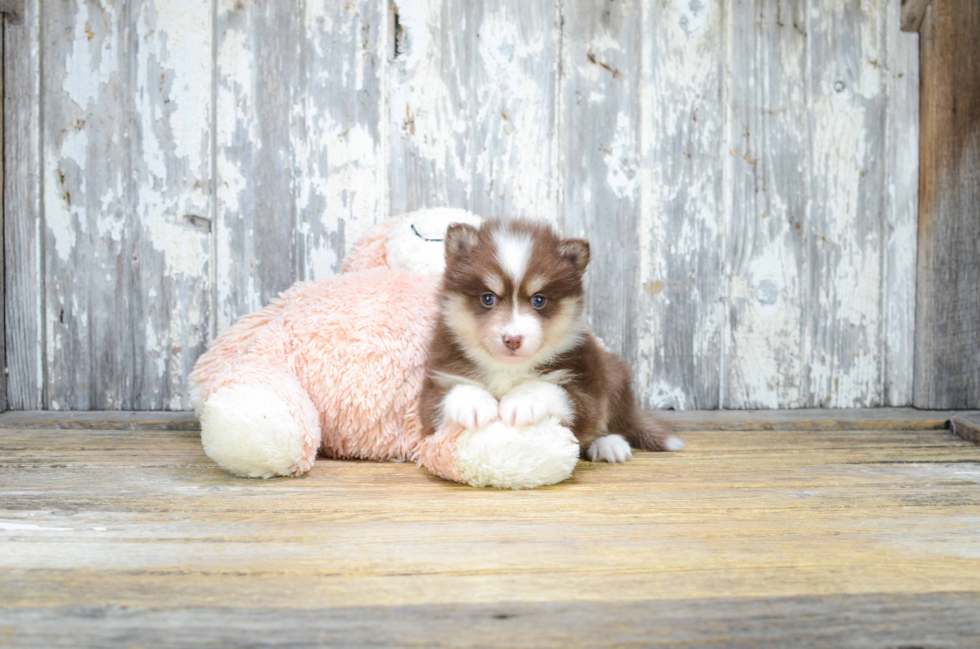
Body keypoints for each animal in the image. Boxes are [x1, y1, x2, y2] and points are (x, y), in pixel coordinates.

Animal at [418, 218, 684, 460]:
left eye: (539, 300)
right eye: (487, 298)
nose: (513, 339)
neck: (508, 369)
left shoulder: (586, 388)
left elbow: (558, 392)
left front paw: (524, 399)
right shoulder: (437, 381)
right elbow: (446, 395)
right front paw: (474, 402)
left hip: (612, 374)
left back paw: (609, 445)